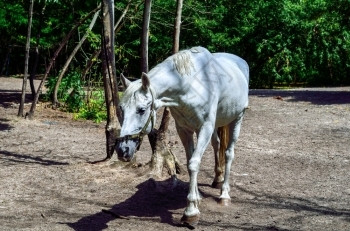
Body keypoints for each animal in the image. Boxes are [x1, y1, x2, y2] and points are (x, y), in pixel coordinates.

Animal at [117, 46, 249, 226]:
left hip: (237, 118)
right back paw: (217, 179)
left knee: (229, 154)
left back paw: (224, 195)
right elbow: (189, 162)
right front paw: (196, 198)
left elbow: (194, 163)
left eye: (141, 110)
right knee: (217, 145)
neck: (190, 85)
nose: (122, 150)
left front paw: (191, 211)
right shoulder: (184, 130)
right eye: (121, 109)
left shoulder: (205, 127)